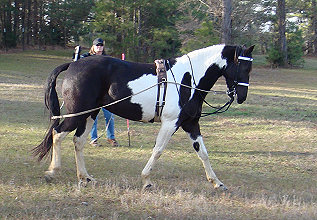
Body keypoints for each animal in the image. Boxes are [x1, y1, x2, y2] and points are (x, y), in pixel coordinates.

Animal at [33, 43, 253, 190]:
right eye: (244, 67)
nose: (242, 96)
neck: (188, 79)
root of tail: (73, 65)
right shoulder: (170, 124)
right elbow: (158, 151)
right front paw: (146, 179)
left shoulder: (190, 124)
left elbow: (203, 153)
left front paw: (217, 182)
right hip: (78, 113)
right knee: (57, 134)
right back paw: (52, 172)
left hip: (89, 114)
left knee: (78, 141)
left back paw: (84, 177)